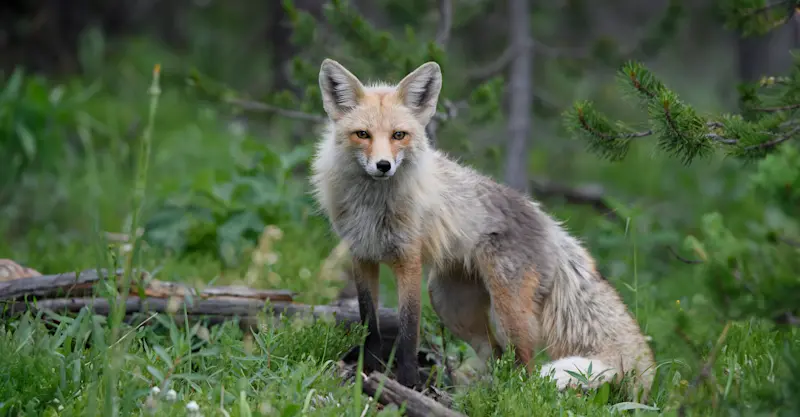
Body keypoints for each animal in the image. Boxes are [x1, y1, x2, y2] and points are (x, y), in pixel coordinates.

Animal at [309, 58, 656, 396]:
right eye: (362, 134)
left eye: (399, 135)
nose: (384, 166)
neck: (372, 207)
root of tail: (548, 222)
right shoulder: (362, 255)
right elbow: (369, 322)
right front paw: (366, 370)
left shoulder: (408, 260)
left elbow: (408, 332)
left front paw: (407, 384)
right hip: (449, 303)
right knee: (498, 358)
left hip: (507, 313)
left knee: (526, 370)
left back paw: (513, 398)